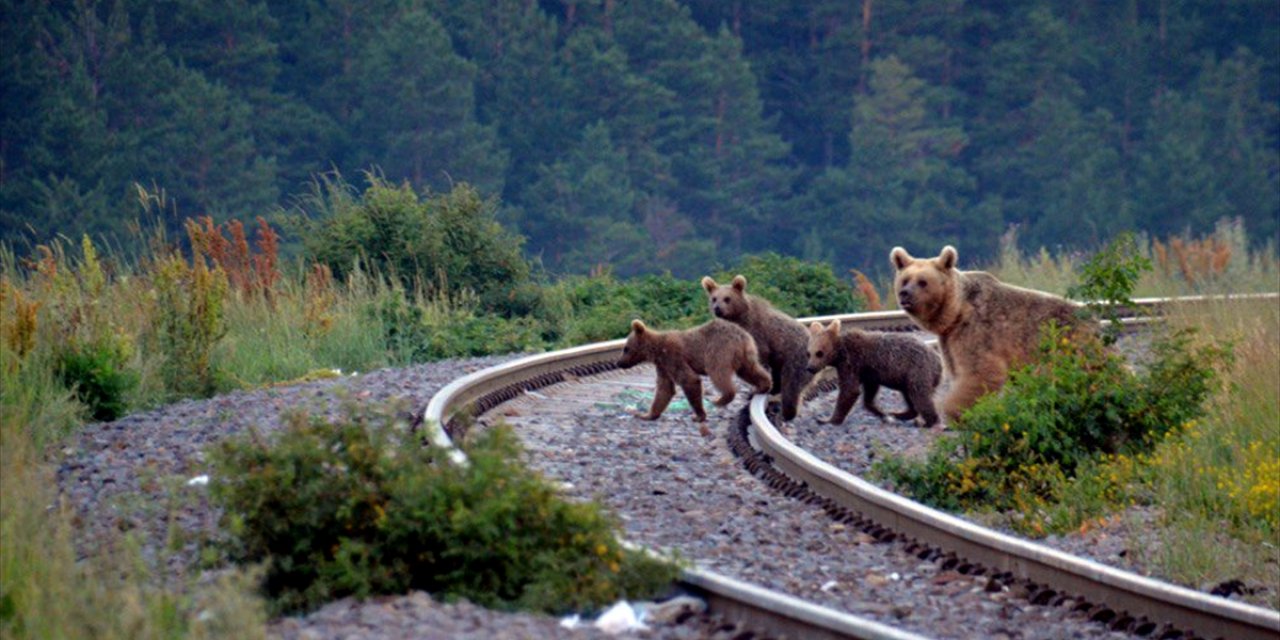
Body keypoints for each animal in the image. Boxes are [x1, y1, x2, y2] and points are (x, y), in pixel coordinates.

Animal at [616, 316, 768, 424]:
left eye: (626, 348)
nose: (619, 363)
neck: (656, 351)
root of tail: (742, 336)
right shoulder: (663, 366)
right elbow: (664, 389)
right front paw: (647, 414)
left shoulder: (672, 357)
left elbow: (689, 379)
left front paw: (699, 416)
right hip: (745, 355)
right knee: (750, 370)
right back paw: (763, 386)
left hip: (719, 350)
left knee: (718, 373)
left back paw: (721, 399)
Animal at [701, 273, 808, 419]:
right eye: (714, 298)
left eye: (727, 298)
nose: (718, 309)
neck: (739, 318)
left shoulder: (757, 334)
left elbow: (759, 358)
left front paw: (754, 389)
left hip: (795, 356)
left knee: (792, 383)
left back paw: (788, 410)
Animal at [808, 318, 942, 427]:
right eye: (809, 353)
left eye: (819, 353)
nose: (810, 368)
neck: (839, 354)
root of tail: (939, 362)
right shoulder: (869, 372)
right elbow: (869, 394)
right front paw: (881, 412)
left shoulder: (851, 363)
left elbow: (849, 390)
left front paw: (827, 419)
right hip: (907, 378)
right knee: (910, 396)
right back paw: (898, 414)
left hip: (918, 370)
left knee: (920, 395)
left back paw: (929, 421)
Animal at [890, 243, 1090, 419]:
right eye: (905, 280)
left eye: (923, 282)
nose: (905, 293)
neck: (955, 312)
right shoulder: (949, 339)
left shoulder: (977, 330)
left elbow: (980, 372)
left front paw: (953, 411)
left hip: (1065, 345)